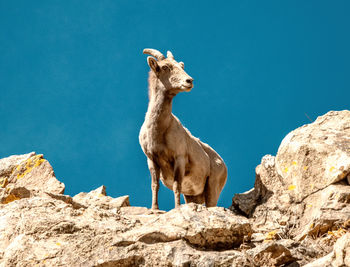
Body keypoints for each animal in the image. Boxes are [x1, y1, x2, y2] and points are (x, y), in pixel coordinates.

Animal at [139, 49, 227, 210]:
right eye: (165, 67)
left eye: (181, 66)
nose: (189, 81)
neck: (158, 132)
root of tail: (222, 164)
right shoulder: (152, 160)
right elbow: (155, 185)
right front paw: (154, 209)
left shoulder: (179, 159)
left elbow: (176, 186)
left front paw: (177, 208)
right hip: (193, 196)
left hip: (212, 189)